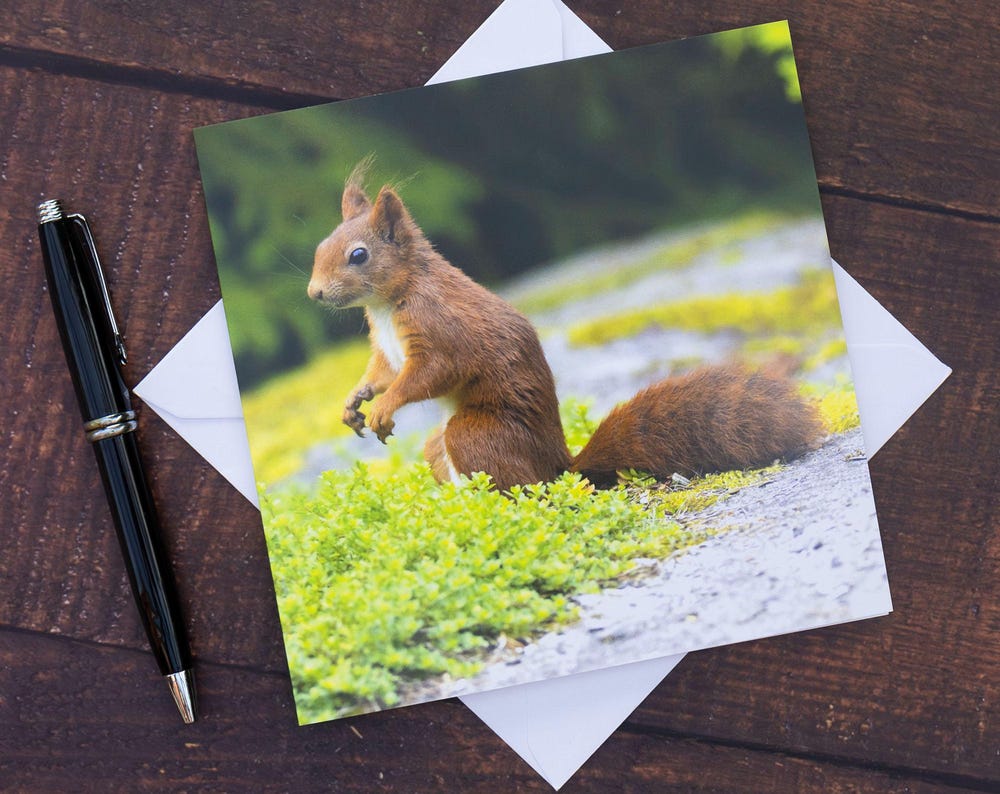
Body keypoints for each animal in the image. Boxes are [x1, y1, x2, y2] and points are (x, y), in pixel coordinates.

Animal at [308, 168, 824, 488]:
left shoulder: (441, 328)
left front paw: (383, 408)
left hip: (475, 434)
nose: (314, 293)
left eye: (359, 255)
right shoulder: (385, 347)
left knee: (518, 488)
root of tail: (562, 470)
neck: (386, 305)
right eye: (321, 245)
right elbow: (380, 372)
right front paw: (355, 402)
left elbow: (429, 373)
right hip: (442, 445)